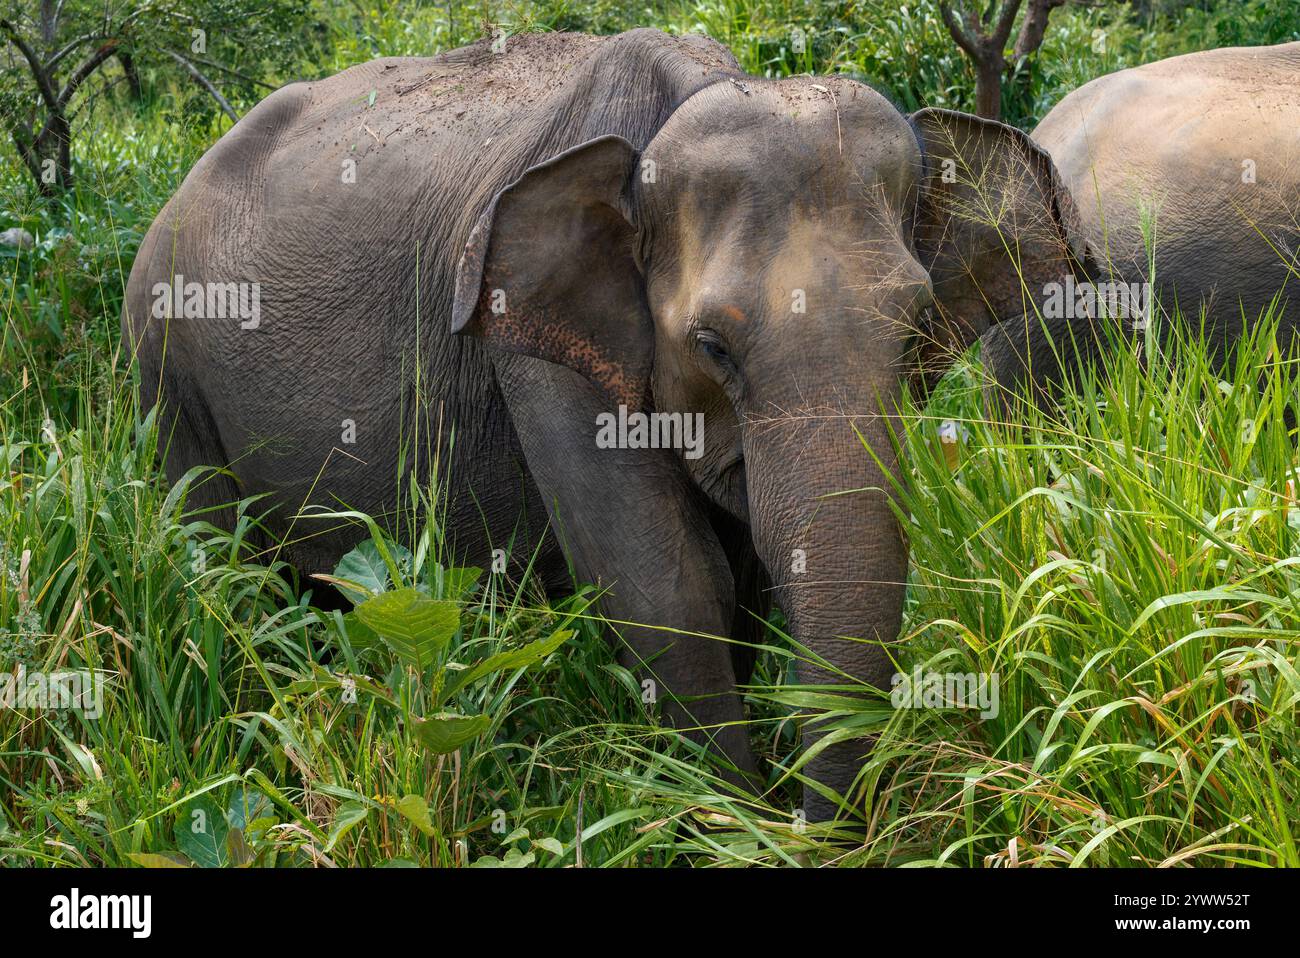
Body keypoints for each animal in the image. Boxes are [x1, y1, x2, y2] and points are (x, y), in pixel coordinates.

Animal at [123, 28, 1084, 822]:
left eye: (918, 331)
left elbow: (750, 584)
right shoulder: (536, 347)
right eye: (711, 346)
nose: (815, 825)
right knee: (225, 573)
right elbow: (667, 584)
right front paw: (730, 824)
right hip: (166, 370)